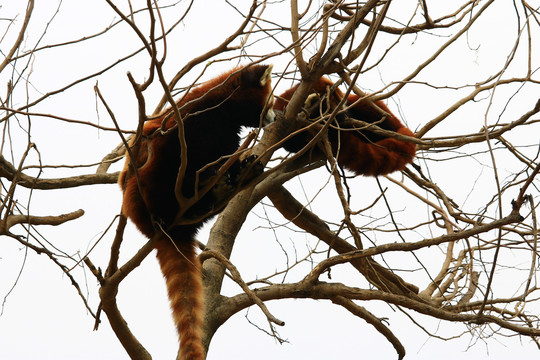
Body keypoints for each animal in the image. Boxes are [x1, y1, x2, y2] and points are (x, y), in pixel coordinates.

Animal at [116, 64, 272, 360]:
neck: (221, 111)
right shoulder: (187, 124)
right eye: (268, 103)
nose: (274, 117)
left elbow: (227, 155)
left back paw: (237, 180)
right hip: (143, 182)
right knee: (153, 176)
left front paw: (237, 168)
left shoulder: (225, 137)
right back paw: (163, 214)